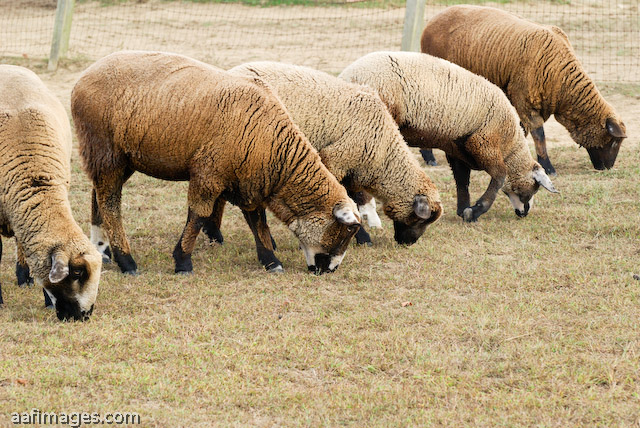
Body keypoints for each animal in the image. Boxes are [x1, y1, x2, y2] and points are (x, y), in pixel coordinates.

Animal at [72, 50, 362, 276]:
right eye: (345, 232)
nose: (329, 270)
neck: (276, 152)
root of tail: (83, 77)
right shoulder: (208, 174)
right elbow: (199, 215)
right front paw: (183, 262)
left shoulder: (248, 179)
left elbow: (257, 221)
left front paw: (271, 261)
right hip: (105, 149)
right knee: (110, 202)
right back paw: (127, 261)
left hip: (120, 157)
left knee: (98, 196)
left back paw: (103, 251)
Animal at [188, 60, 442, 270]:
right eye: (422, 219)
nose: (408, 243)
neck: (384, 154)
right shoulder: (337, 159)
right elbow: (347, 202)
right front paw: (363, 238)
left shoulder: (352, 170)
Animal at [340, 51, 560, 221]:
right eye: (534, 188)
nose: (524, 213)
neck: (509, 144)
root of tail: (347, 76)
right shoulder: (483, 143)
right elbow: (499, 176)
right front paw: (476, 210)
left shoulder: (457, 149)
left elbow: (462, 180)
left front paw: (463, 210)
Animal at [422, 4, 628, 175]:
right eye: (614, 141)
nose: (608, 168)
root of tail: (431, 21)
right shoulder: (526, 101)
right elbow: (539, 135)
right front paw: (548, 167)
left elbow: (521, 131)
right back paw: (429, 157)